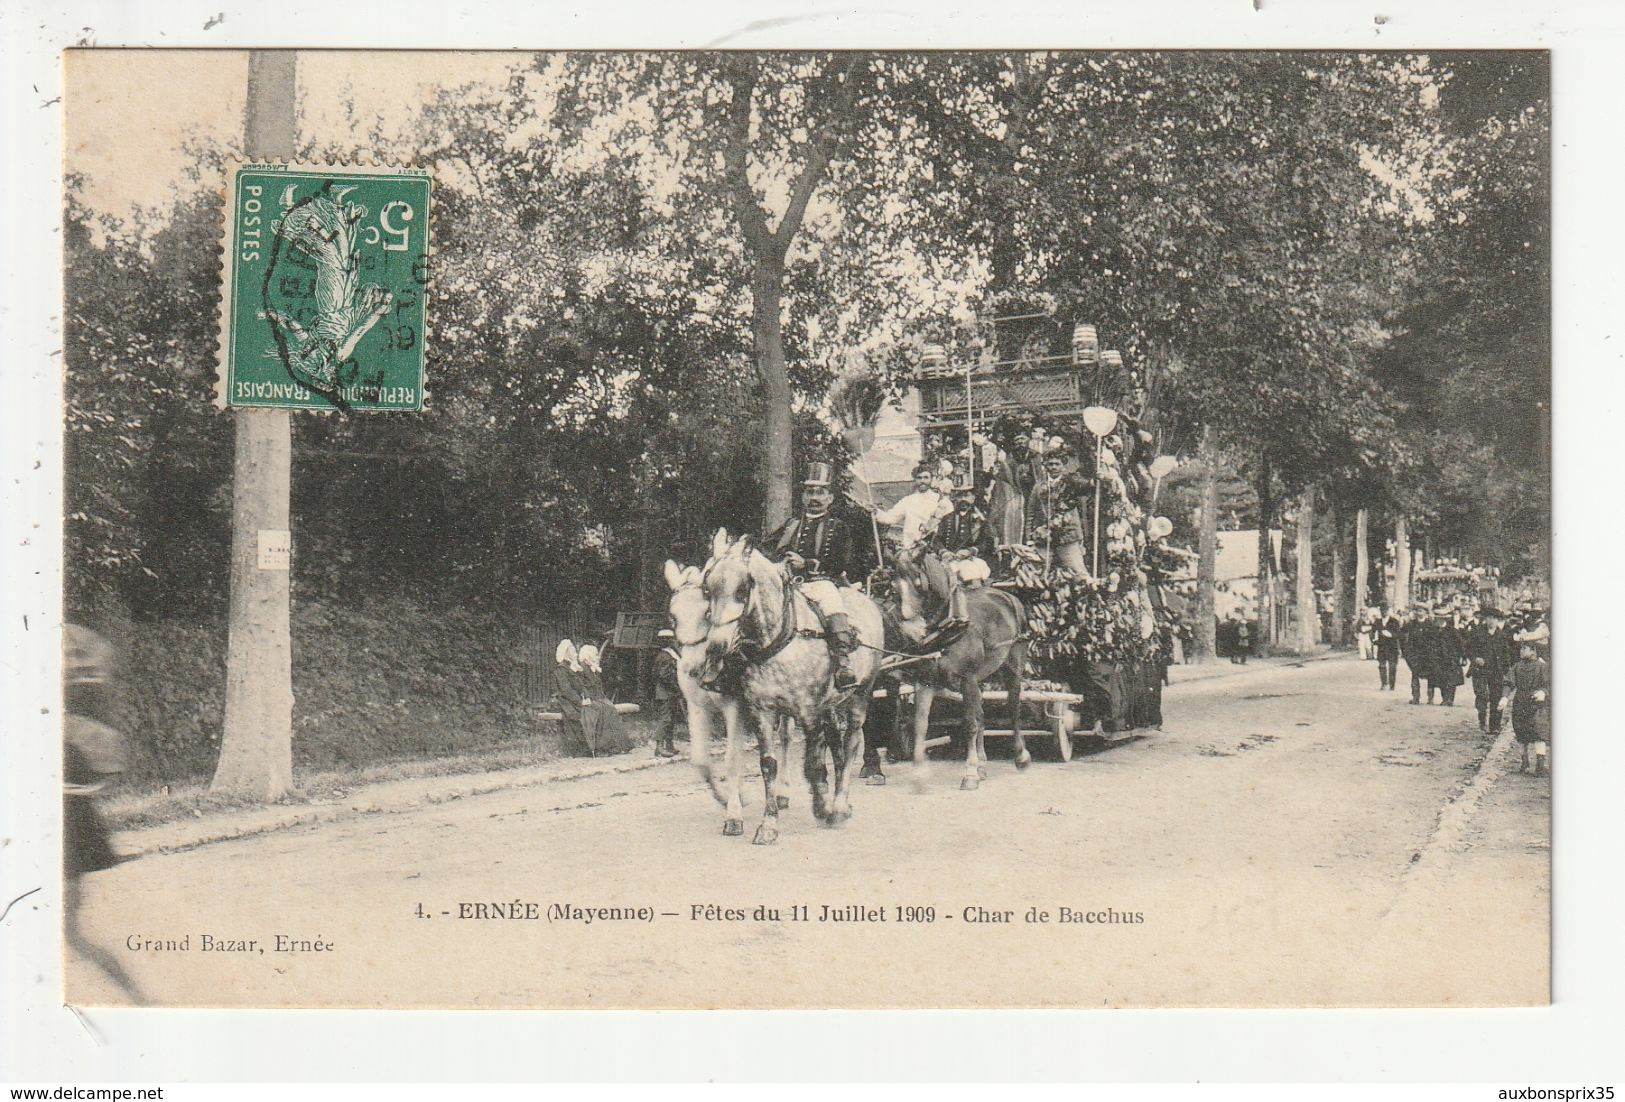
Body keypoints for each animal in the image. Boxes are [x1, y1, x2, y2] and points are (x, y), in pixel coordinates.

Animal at [656, 562, 789, 838]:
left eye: (708, 613)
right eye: (673, 616)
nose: (692, 668)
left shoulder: (734, 707)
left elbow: (732, 759)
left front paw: (734, 815)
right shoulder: (696, 707)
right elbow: (700, 760)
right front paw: (730, 797)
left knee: (786, 739)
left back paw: (783, 792)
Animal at [695, 529, 884, 845]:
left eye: (742, 588)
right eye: (707, 589)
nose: (716, 648)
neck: (779, 640)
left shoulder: (809, 711)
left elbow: (812, 764)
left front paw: (822, 808)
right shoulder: (761, 712)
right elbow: (768, 765)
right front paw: (768, 824)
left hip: (860, 696)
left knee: (851, 744)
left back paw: (840, 804)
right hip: (830, 706)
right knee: (837, 745)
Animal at [897, 549, 1020, 789]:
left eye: (918, 583)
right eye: (894, 585)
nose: (913, 631)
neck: (950, 624)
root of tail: (1005, 595)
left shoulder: (967, 679)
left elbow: (969, 724)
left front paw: (969, 774)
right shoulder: (925, 681)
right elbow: (920, 724)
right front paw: (919, 775)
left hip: (1012, 665)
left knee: (1012, 705)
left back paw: (1021, 756)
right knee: (982, 715)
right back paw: (982, 765)